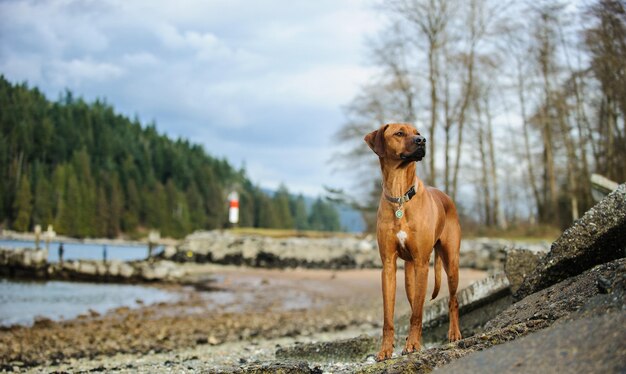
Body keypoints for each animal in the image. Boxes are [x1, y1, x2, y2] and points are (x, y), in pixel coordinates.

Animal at [364, 122, 460, 360]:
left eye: (417, 132)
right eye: (399, 133)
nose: (422, 140)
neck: (400, 195)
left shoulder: (422, 262)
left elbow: (416, 314)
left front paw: (413, 345)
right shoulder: (388, 266)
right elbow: (389, 317)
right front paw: (386, 349)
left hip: (451, 263)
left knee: (452, 300)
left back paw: (454, 333)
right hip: (409, 276)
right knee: (417, 301)